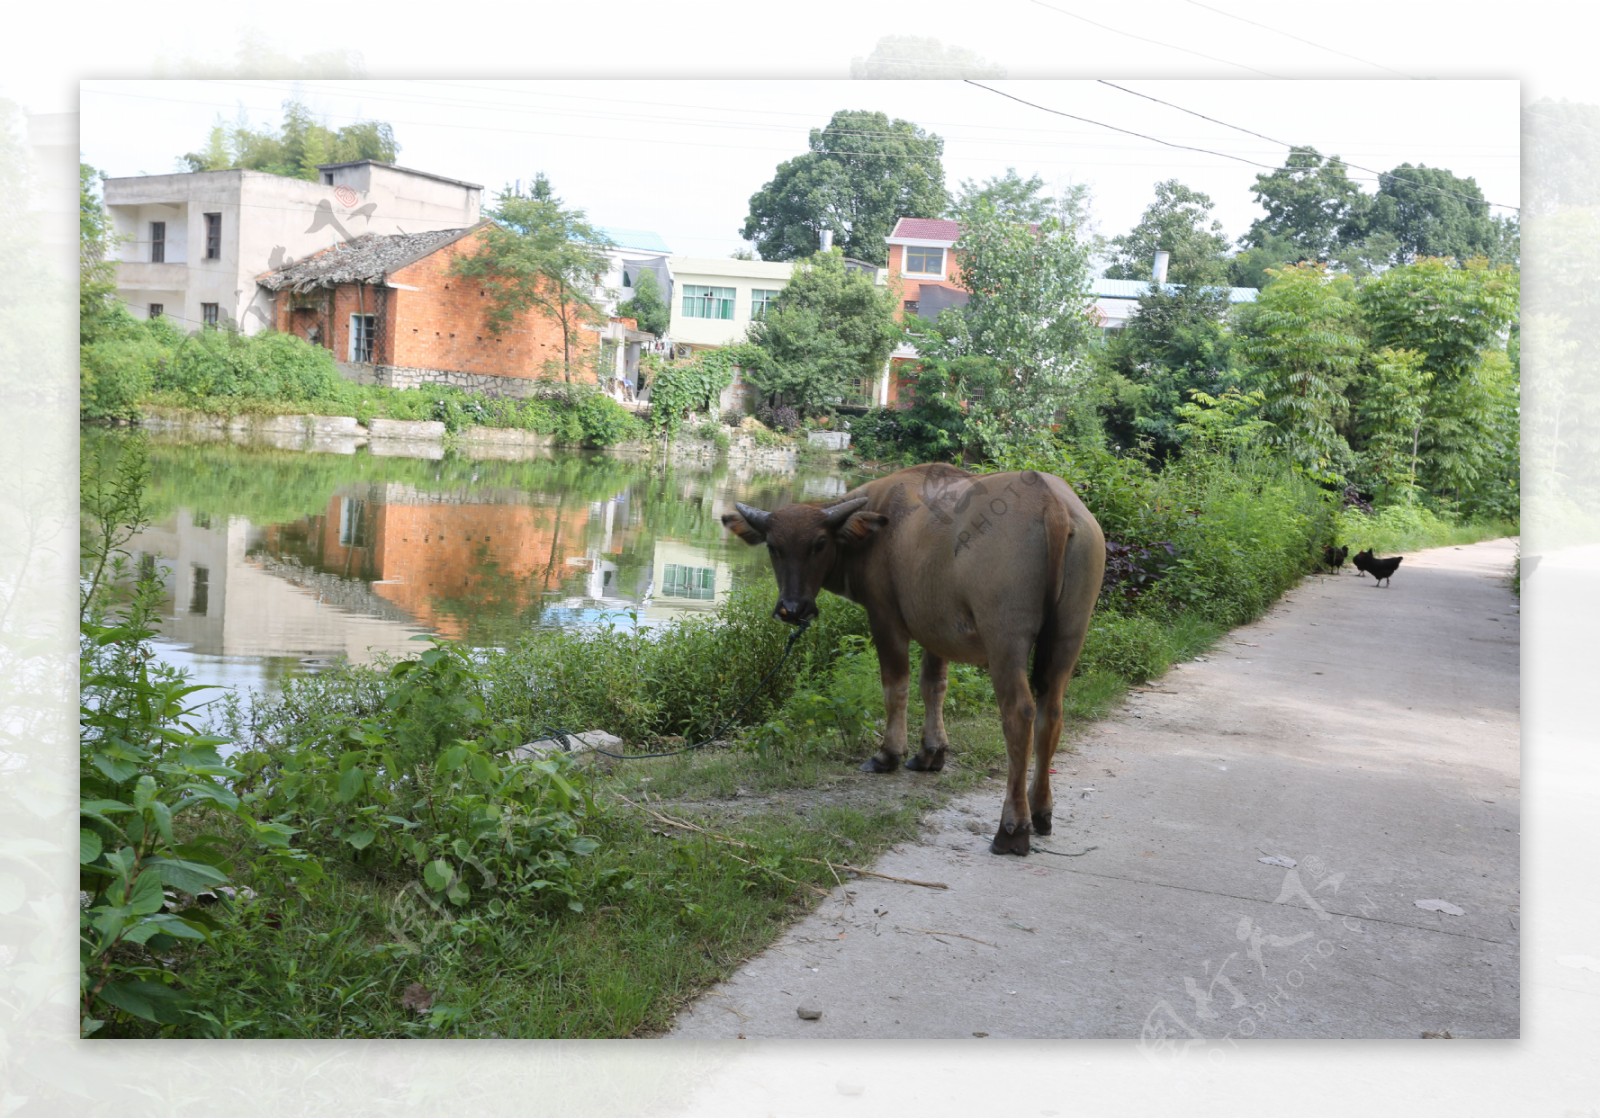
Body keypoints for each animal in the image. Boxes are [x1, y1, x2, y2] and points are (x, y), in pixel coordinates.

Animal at [723, 464, 1107, 858]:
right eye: (774, 547)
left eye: (819, 544)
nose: (793, 608)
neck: (877, 531)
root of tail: (1051, 503)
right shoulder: (935, 629)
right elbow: (933, 686)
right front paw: (930, 753)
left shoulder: (885, 619)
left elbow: (896, 686)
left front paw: (888, 754)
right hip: (1069, 634)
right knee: (1052, 711)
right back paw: (1041, 810)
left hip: (1005, 639)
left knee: (1019, 713)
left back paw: (1012, 828)